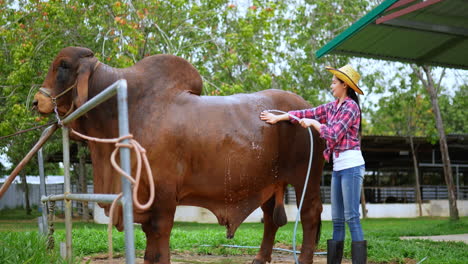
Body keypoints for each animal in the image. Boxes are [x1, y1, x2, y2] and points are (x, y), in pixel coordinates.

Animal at [33, 47, 326, 264]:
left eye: (62, 65)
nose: (37, 101)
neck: (128, 109)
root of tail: (307, 108)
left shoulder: (162, 193)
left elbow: (159, 232)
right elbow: (150, 237)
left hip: (306, 177)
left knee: (310, 215)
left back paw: (305, 258)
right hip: (268, 182)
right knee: (271, 219)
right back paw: (259, 258)